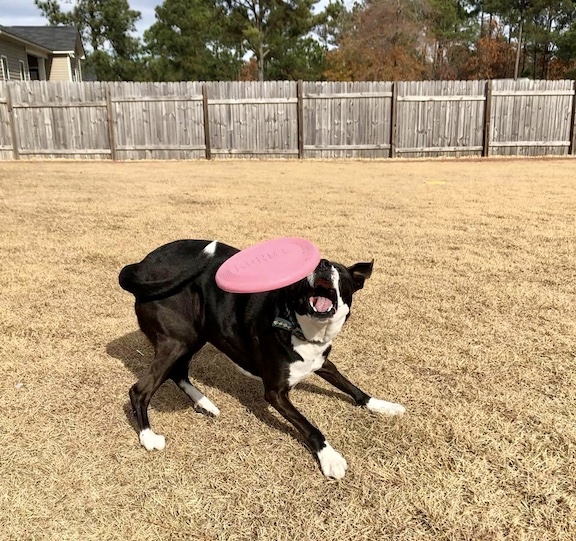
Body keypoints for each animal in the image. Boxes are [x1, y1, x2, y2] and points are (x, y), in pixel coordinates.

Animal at [119, 239, 404, 476]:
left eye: (340, 272)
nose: (322, 264)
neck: (300, 327)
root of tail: (140, 266)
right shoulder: (276, 393)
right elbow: (308, 426)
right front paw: (329, 457)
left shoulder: (322, 363)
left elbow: (352, 388)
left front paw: (382, 405)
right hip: (177, 340)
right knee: (140, 390)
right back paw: (148, 437)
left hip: (195, 334)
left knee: (178, 372)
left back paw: (205, 403)